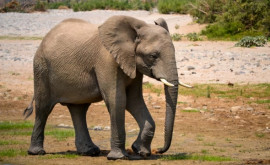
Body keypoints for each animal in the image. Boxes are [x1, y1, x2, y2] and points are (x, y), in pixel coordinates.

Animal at [24, 15, 191, 160]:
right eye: (153, 56)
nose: (160, 150)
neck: (136, 28)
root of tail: (46, 37)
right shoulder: (107, 61)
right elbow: (118, 101)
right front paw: (119, 157)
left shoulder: (133, 64)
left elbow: (134, 100)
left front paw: (141, 152)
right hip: (41, 69)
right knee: (44, 108)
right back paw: (36, 152)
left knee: (79, 110)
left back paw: (89, 152)